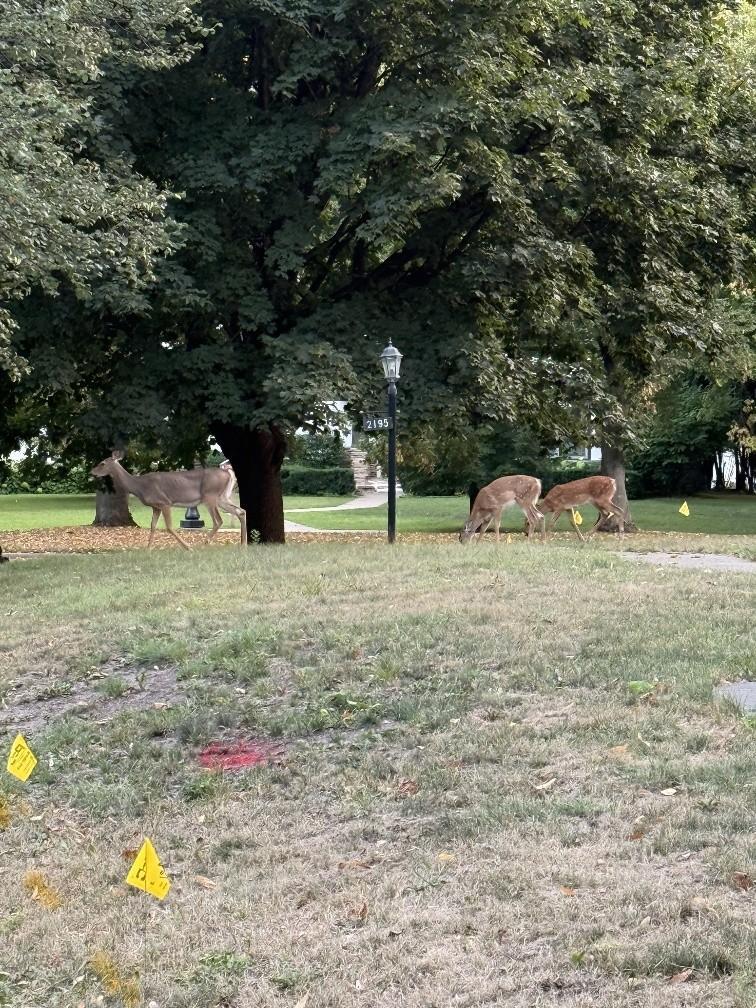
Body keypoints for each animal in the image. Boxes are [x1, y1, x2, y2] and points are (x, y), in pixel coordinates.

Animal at [91, 451, 247, 550]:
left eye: (102, 463)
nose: (92, 472)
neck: (139, 486)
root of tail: (228, 472)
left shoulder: (164, 502)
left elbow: (169, 527)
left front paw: (188, 548)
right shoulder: (155, 506)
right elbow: (153, 526)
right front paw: (148, 549)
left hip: (210, 496)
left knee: (218, 520)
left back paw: (204, 544)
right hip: (222, 497)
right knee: (241, 511)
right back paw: (243, 544)